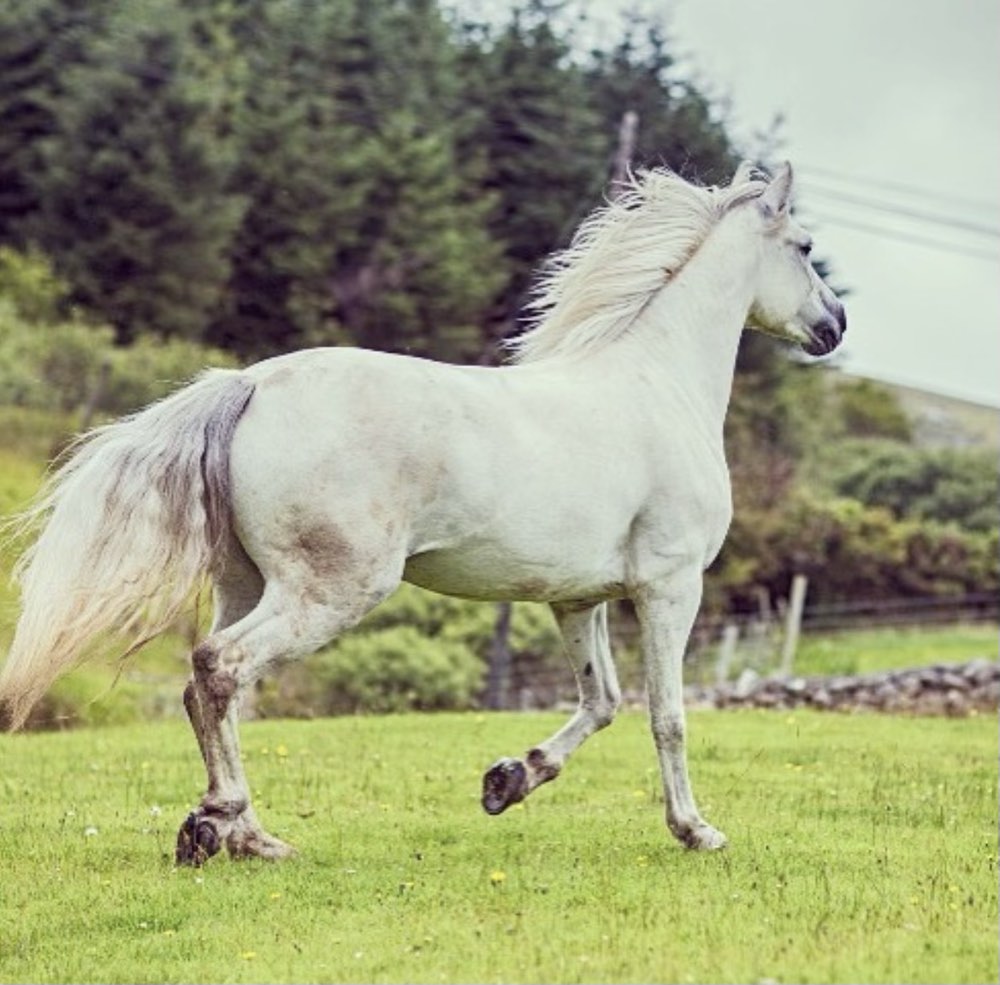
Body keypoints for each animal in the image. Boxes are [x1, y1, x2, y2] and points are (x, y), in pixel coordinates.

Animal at [0, 161, 844, 860]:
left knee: (211, 684)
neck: (658, 386)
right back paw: (225, 821)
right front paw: (696, 830)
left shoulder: (578, 599)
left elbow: (600, 701)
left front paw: (507, 780)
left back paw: (246, 835)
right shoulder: (671, 586)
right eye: (805, 246)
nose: (836, 325)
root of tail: (251, 383)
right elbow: (666, 712)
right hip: (331, 590)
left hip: (246, 583)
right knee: (221, 667)